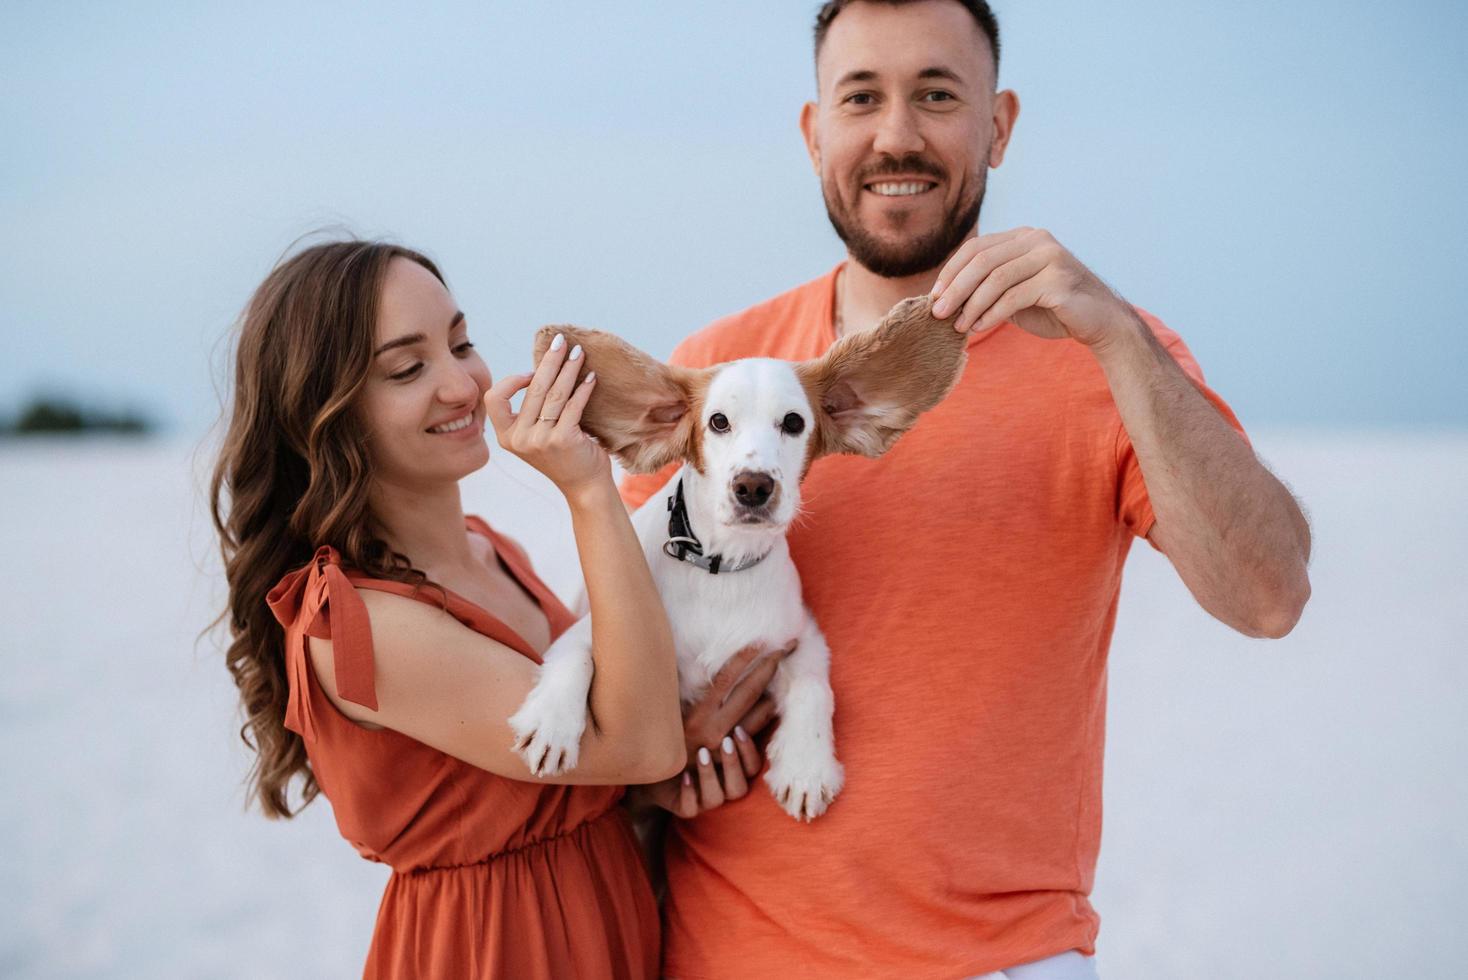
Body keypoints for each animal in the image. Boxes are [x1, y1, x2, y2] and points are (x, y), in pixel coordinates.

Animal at [510, 296, 968, 821]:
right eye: (718, 422)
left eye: (793, 422)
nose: (753, 486)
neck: (720, 570)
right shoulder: (600, 630)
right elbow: (576, 654)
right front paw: (551, 721)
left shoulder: (793, 636)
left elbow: (814, 686)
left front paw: (806, 766)